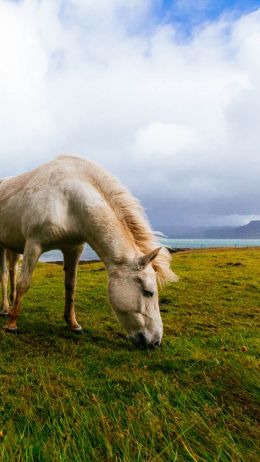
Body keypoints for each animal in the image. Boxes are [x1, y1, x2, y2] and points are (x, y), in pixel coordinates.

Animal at [0, 155, 178, 346]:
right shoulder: (34, 245)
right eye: (148, 292)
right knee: (4, 275)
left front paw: (73, 324)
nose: (155, 342)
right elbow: (24, 283)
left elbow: (71, 286)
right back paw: (5, 309)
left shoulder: (73, 248)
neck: (67, 200)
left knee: (12, 271)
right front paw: (11, 324)